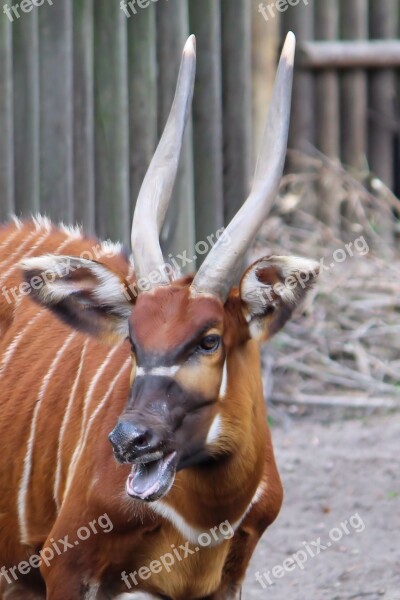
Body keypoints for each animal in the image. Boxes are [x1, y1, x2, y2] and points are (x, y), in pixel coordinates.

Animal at [0, 32, 318, 600]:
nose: (130, 440)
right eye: (132, 339)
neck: (202, 520)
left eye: (209, 339)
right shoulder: (65, 564)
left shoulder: (226, 579)